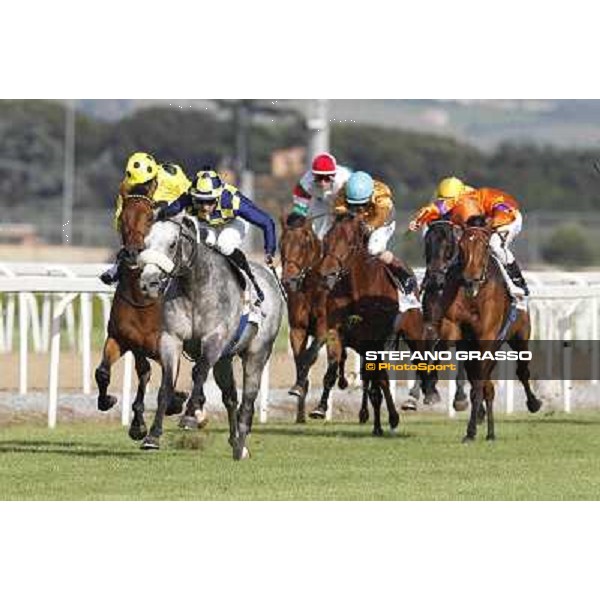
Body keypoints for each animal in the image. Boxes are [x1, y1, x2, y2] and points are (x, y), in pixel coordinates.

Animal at [138, 216, 284, 460]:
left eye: (172, 244)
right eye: (146, 243)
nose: (148, 283)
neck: (194, 288)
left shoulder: (214, 340)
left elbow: (199, 373)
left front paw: (190, 416)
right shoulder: (171, 339)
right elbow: (167, 385)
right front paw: (153, 435)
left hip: (257, 353)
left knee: (247, 401)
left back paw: (241, 446)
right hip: (225, 359)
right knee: (231, 397)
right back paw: (235, 440)